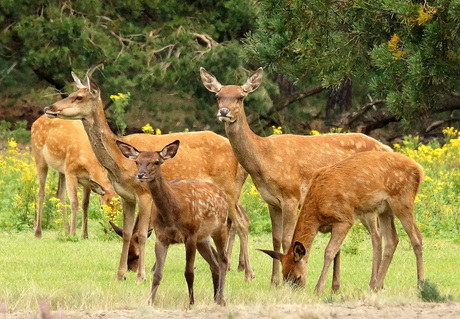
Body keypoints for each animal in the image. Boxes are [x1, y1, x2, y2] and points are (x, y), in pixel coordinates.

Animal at [42, 71, 250, 284]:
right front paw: (120, 275)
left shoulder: (144, 195)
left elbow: (142, 234)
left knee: (241, 222)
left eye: (79, 97)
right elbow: (127, 233)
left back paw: (247, 273)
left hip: (228, 188)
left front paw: (141, 276)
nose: (49, 108)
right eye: (71, 93)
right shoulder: (126, 197)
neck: (120, 162)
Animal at [116, 141, 229, 308]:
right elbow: (157, 274)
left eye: (156, 162)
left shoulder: (190, 234)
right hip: (203, 238)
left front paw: (191, 303)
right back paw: (215, 298)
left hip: (220, 228)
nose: (140, 175)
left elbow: (189, 272)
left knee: (223, 261)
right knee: (214, 264)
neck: (172, 213)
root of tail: (221, 193)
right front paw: (149, 302)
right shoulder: (161, 237)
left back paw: (221, 299)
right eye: (137, 162)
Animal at [199, 67, 394, 284]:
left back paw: (374, 282)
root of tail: (387, 148)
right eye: (218, 96)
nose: (224, 112)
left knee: (377, 236)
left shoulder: (291, 195)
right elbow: (275, 239)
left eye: (241, 97)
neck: (264, 158)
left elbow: (286, 239)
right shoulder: (271, 201)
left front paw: (280, 279)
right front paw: (273, 280)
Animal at [258, 151, 424, 294]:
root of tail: (419, 168)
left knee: (416, 236)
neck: (317, 207)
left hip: (403, 199)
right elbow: (337, 252)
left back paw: (420, 283)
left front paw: (319, 289)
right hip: (384, 209)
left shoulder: (344, 219)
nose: (296, 292)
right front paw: (334, 287)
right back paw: (376, 285)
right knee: (391, 240)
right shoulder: (333, 224)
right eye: (285, 276)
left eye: (297, 277)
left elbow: (329, 251)